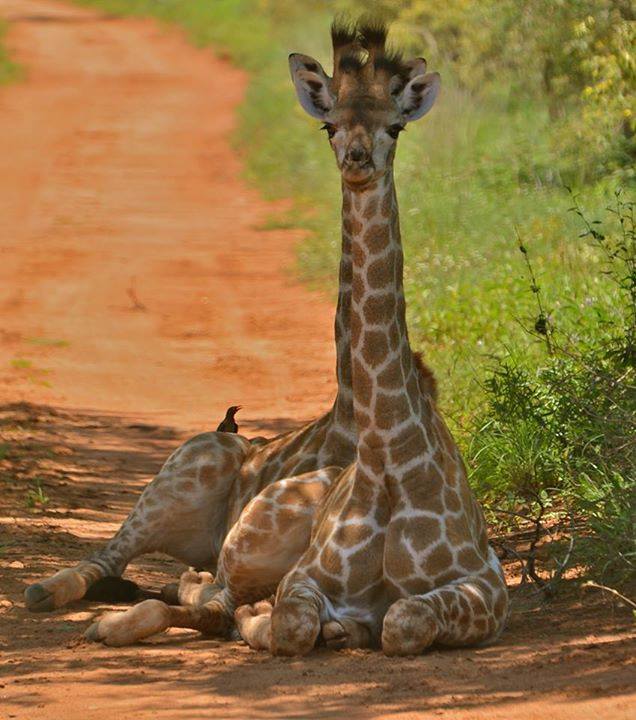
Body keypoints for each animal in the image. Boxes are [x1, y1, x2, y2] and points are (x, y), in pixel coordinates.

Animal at [236, 18, 510, 660]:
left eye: (395, 126)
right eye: (329, 125)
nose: (357, 160)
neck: (386, 457)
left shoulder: (486, 582)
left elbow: (405, 621)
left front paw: (358, 626)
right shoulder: (305, 575)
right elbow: (290, 625)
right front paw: (298, 624)